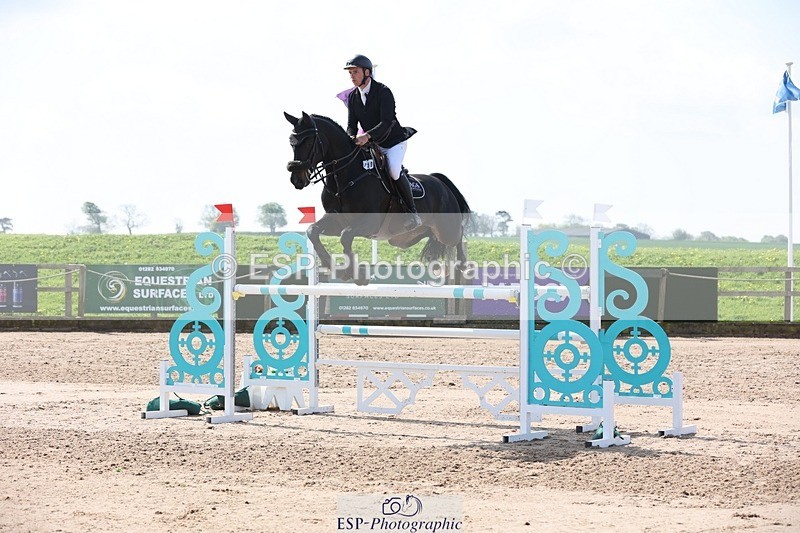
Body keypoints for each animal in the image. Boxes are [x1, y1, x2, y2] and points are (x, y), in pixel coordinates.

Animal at [284, 111, 471, 285]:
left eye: (309, 142)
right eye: (291, 143)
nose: (296, 180)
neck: (345, 177)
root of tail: (440, 181)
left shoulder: (369, 222)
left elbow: (345, 236)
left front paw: (357, 275)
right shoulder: (336, 221)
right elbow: (313, 231)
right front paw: (338, 269)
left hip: (446, 230)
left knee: (458, 235)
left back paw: (461, 264)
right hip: (402, 239)